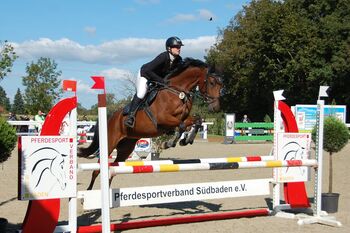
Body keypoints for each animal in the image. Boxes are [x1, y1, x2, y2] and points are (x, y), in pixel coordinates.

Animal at [78, 57, 223, 189]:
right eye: (211, 82)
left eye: (221, 85)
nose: (215, 108)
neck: (178, 91)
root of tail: (110, 117)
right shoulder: (163, 119)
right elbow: (181, 126)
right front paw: (169, 143)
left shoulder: (185, 118)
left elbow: (197, 121)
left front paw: (186, 140)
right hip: (110, 143)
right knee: (97, 169)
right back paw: (90, 192)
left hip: (126, 147)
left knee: (112, 170)